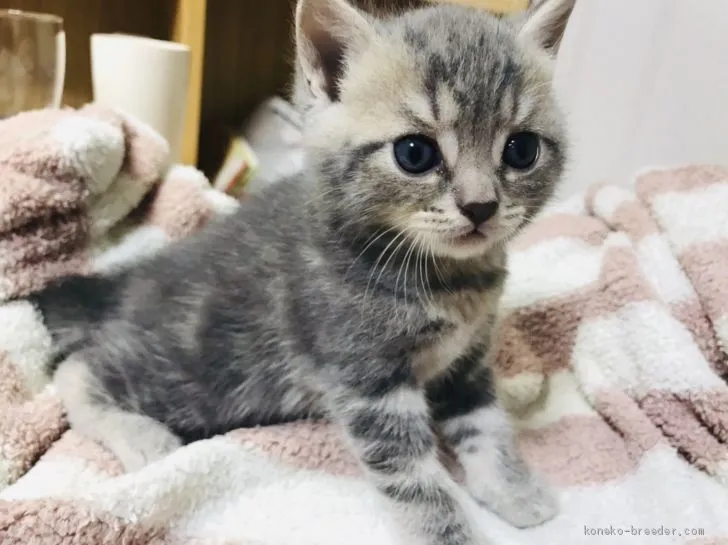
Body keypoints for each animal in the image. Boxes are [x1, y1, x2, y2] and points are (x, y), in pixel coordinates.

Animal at [32, 1, 576, 540]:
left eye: (521, 150)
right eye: (415, 153)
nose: (481, 206)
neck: (448, 279)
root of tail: (130, 283)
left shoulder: (468, 363)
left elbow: (488, 425)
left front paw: (514, 488)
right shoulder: (365, 381)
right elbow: (414, 480)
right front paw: (450, 532)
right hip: (204, 374)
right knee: (76, 369)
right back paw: (143, 437)